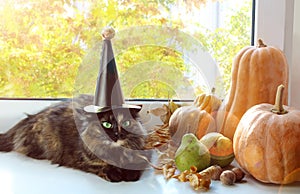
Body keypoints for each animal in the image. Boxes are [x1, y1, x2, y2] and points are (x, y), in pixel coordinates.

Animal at [0, 94, 151, 183]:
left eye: (126, 123)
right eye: (106, 124)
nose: (117, 135)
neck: (117, 153)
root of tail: (30, 118)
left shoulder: (144, 154)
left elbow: (135, 167)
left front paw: (129, 175)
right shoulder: (82, 160)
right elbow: (101, 167)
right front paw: (116, 174)